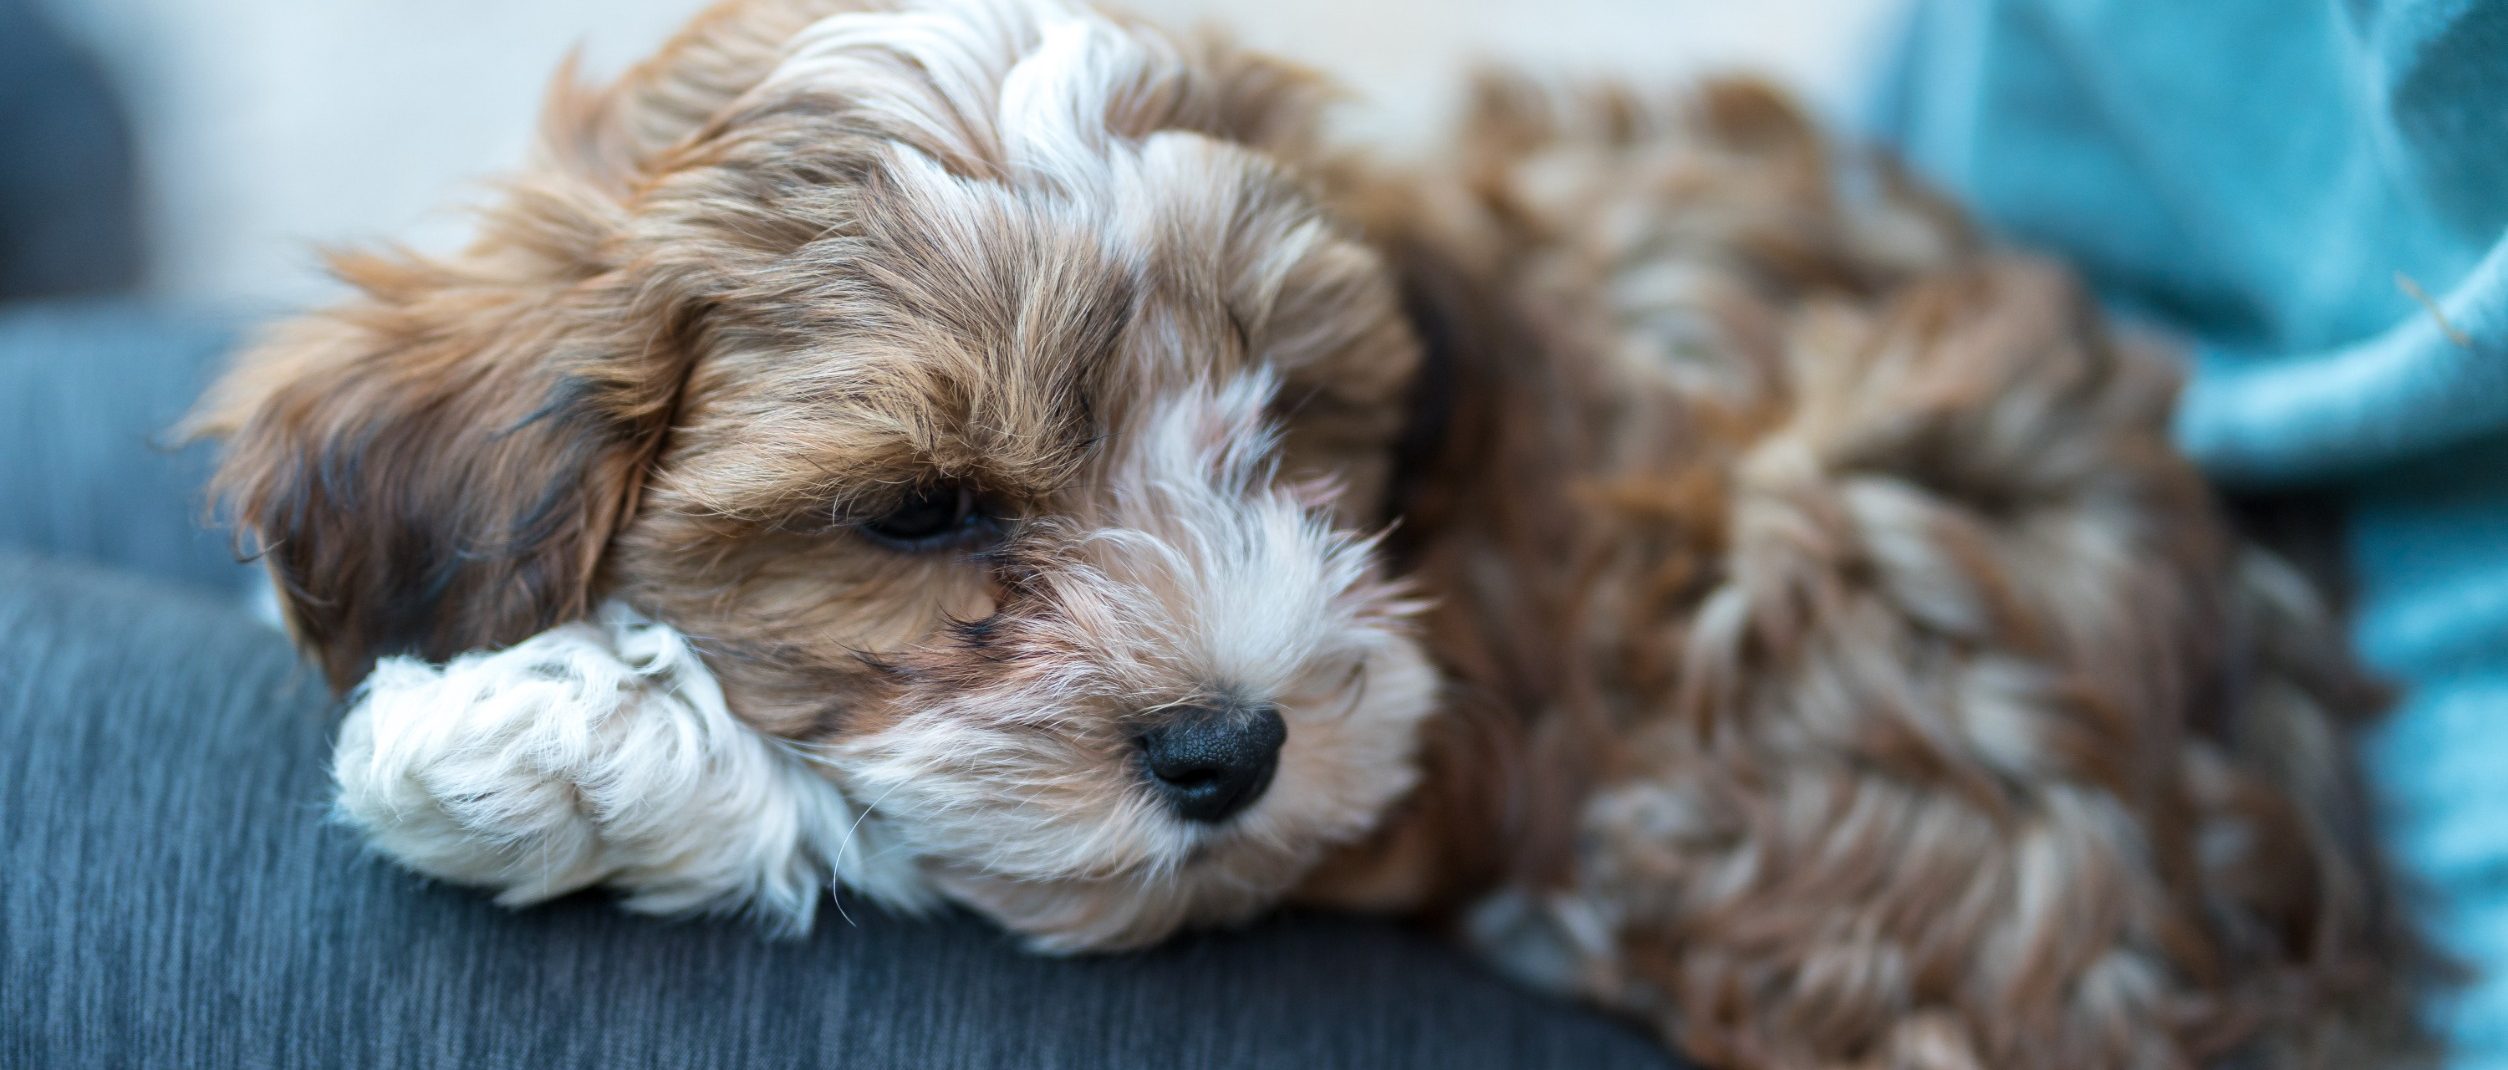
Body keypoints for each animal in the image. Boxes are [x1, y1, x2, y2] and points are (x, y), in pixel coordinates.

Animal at [200, 0, 2427, 1067]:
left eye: (1284, 432)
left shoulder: (1455, 778)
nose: (1231, 745)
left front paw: (535, 741)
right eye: (923, 513)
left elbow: (954, 833)